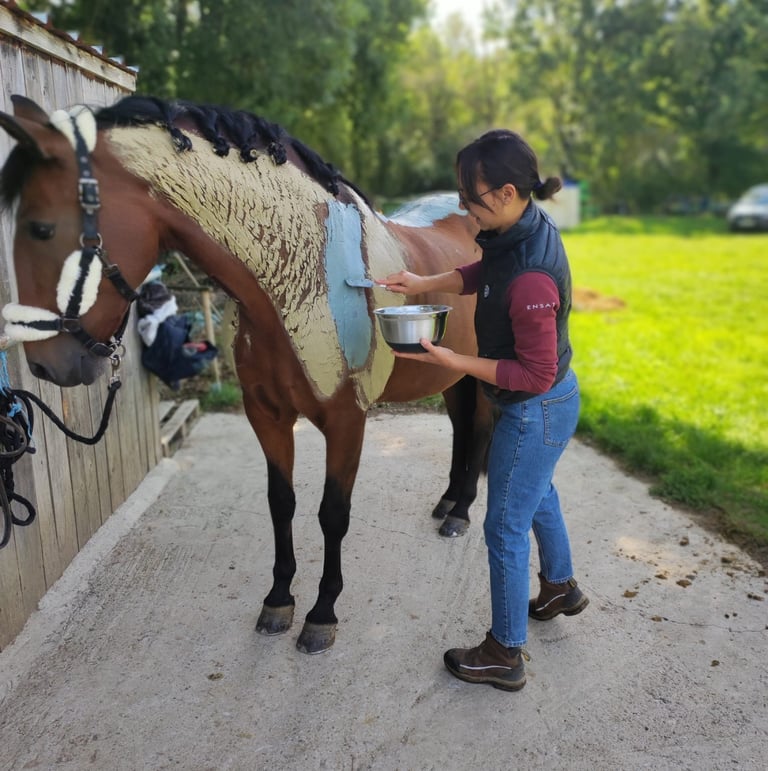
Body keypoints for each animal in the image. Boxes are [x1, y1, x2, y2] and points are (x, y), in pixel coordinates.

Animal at [0, 95, 493, 653]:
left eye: (41, 228)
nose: (45, 363)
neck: (300, 280)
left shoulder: (347, 420)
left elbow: (332, 513)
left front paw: (322, 612)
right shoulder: (267, 415)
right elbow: (282, 502)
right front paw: (279, 600)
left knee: (481, 429)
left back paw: (459, 514)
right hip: (451, 374)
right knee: (461, 428)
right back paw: (448, 503)